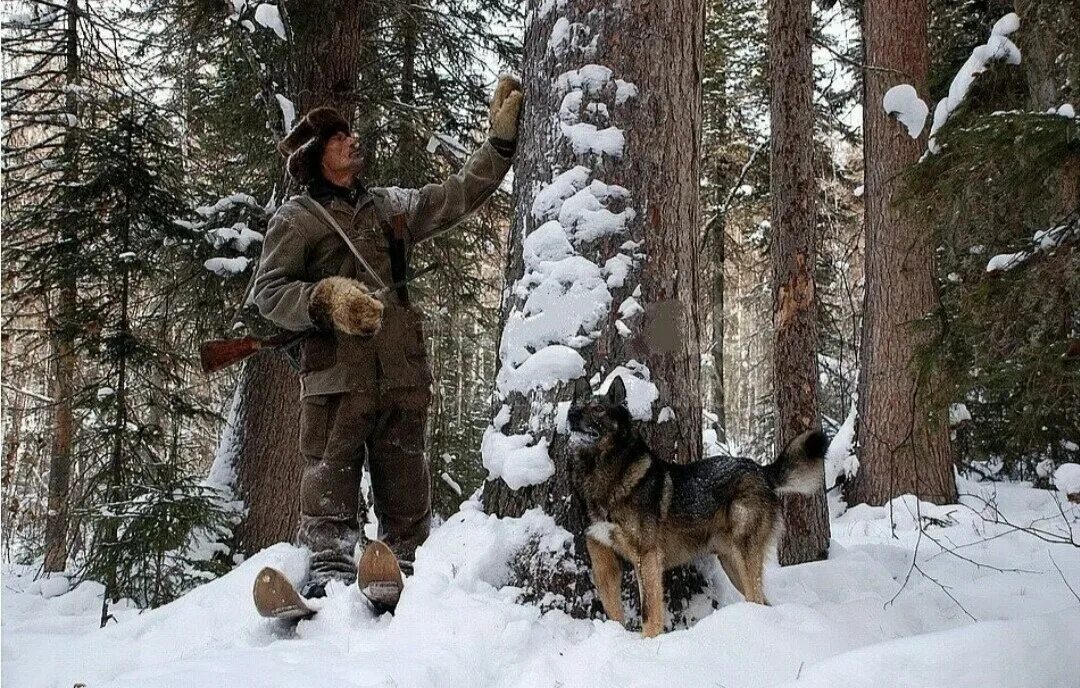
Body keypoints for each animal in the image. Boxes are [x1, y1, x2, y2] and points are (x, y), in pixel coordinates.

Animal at [565, 373, 825, 635]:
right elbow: (613, 611)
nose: (571, 415)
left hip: (743, 555)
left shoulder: (646, 557)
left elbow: (649, 612)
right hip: (731, 562)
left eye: (598, 409)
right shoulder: (603, 561)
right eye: (575, 405)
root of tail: (761, 470)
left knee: (757, 598)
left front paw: (649, 640)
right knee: (763, 601)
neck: (600, 473)